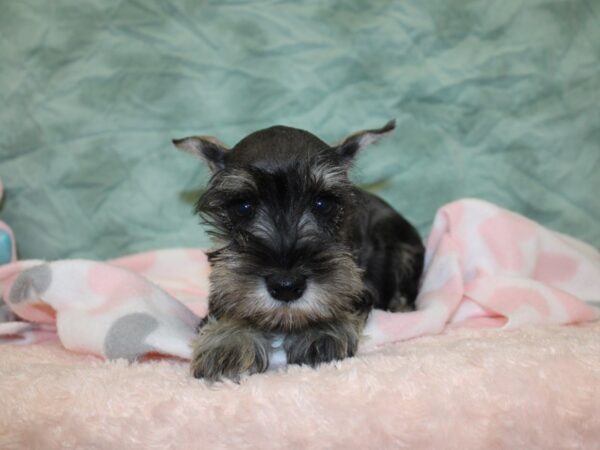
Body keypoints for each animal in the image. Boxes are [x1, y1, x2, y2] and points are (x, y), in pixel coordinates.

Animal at [173, 119, 424, 380]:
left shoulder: (359, 283)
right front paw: (230, 341)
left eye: (323, 203)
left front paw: (319, 329)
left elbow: (340, 296)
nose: (286, 287)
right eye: (243, 206)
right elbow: (232, 300)